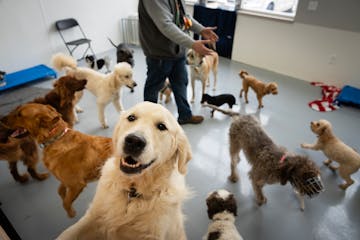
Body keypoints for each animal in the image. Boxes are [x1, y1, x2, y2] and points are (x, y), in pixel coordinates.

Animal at [58, 101, 194, 240]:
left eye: (161, 126)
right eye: (131, 118)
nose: (134, 141)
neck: (132, 192)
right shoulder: (92, 217)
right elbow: (67, 233)